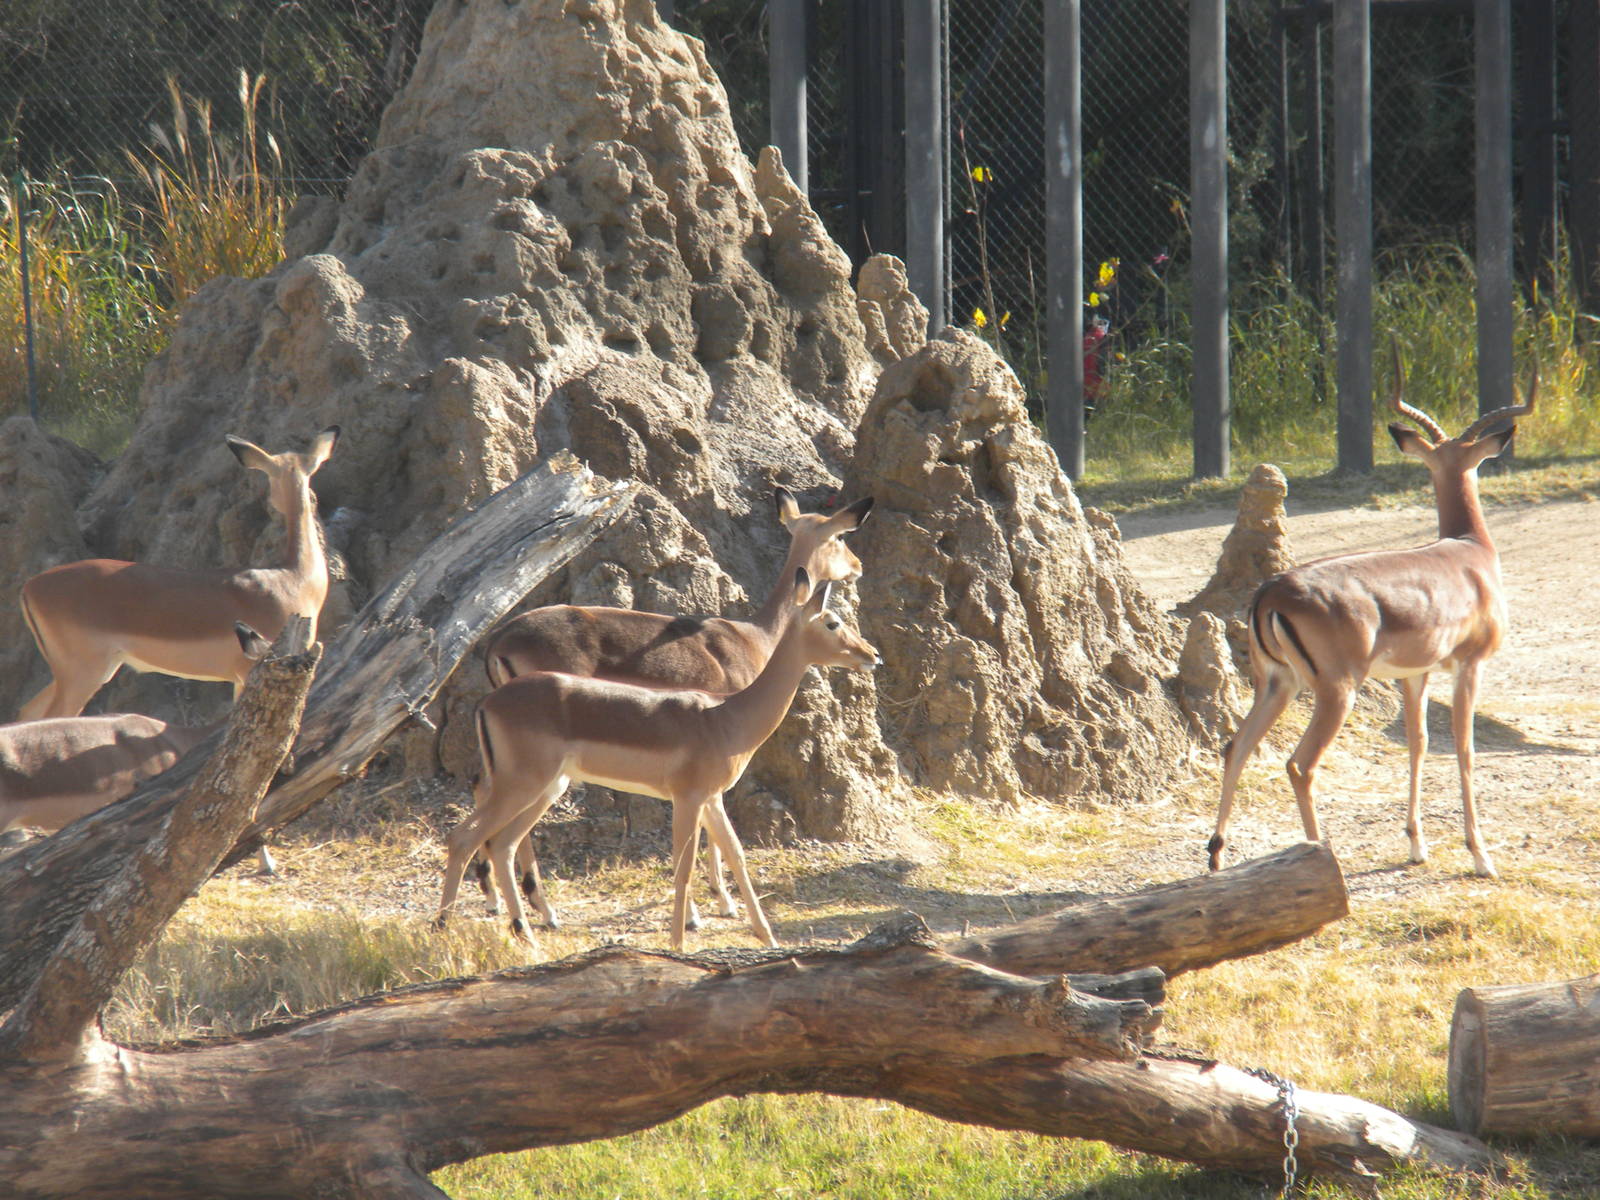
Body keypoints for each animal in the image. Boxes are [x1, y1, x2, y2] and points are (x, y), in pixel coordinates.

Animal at [473, 487, 873, 925]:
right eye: (840, 536)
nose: (858, 567)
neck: (757, 637)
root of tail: (498, 641)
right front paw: (719, 901)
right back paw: (540, 908)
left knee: (484, 795)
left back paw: (502, 899)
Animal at [1208, 346, 1533, 878]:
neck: (1471, 553)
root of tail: (1271, 592)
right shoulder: (1470, 665)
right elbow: (1464, 749)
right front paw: (1481, 856)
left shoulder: (1415, 673)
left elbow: (1419, 743)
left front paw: (1417, 844)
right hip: (1336, 690)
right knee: (1300, 764)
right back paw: (1317, 856)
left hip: (1277, 683)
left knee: (1236, 746)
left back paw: (1216, 857)